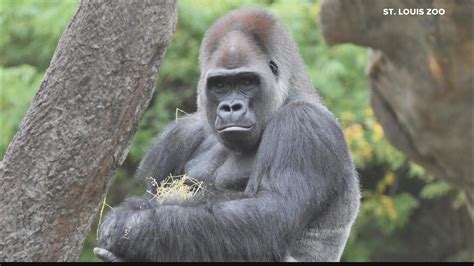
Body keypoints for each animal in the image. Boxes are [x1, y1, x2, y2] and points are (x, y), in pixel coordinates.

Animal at [94, 7, 362, 262]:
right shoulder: (179, 134)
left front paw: (128, 225)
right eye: (220, 84)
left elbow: (269, 214)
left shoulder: (304, 124)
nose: (231, 107)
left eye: (247, 81)